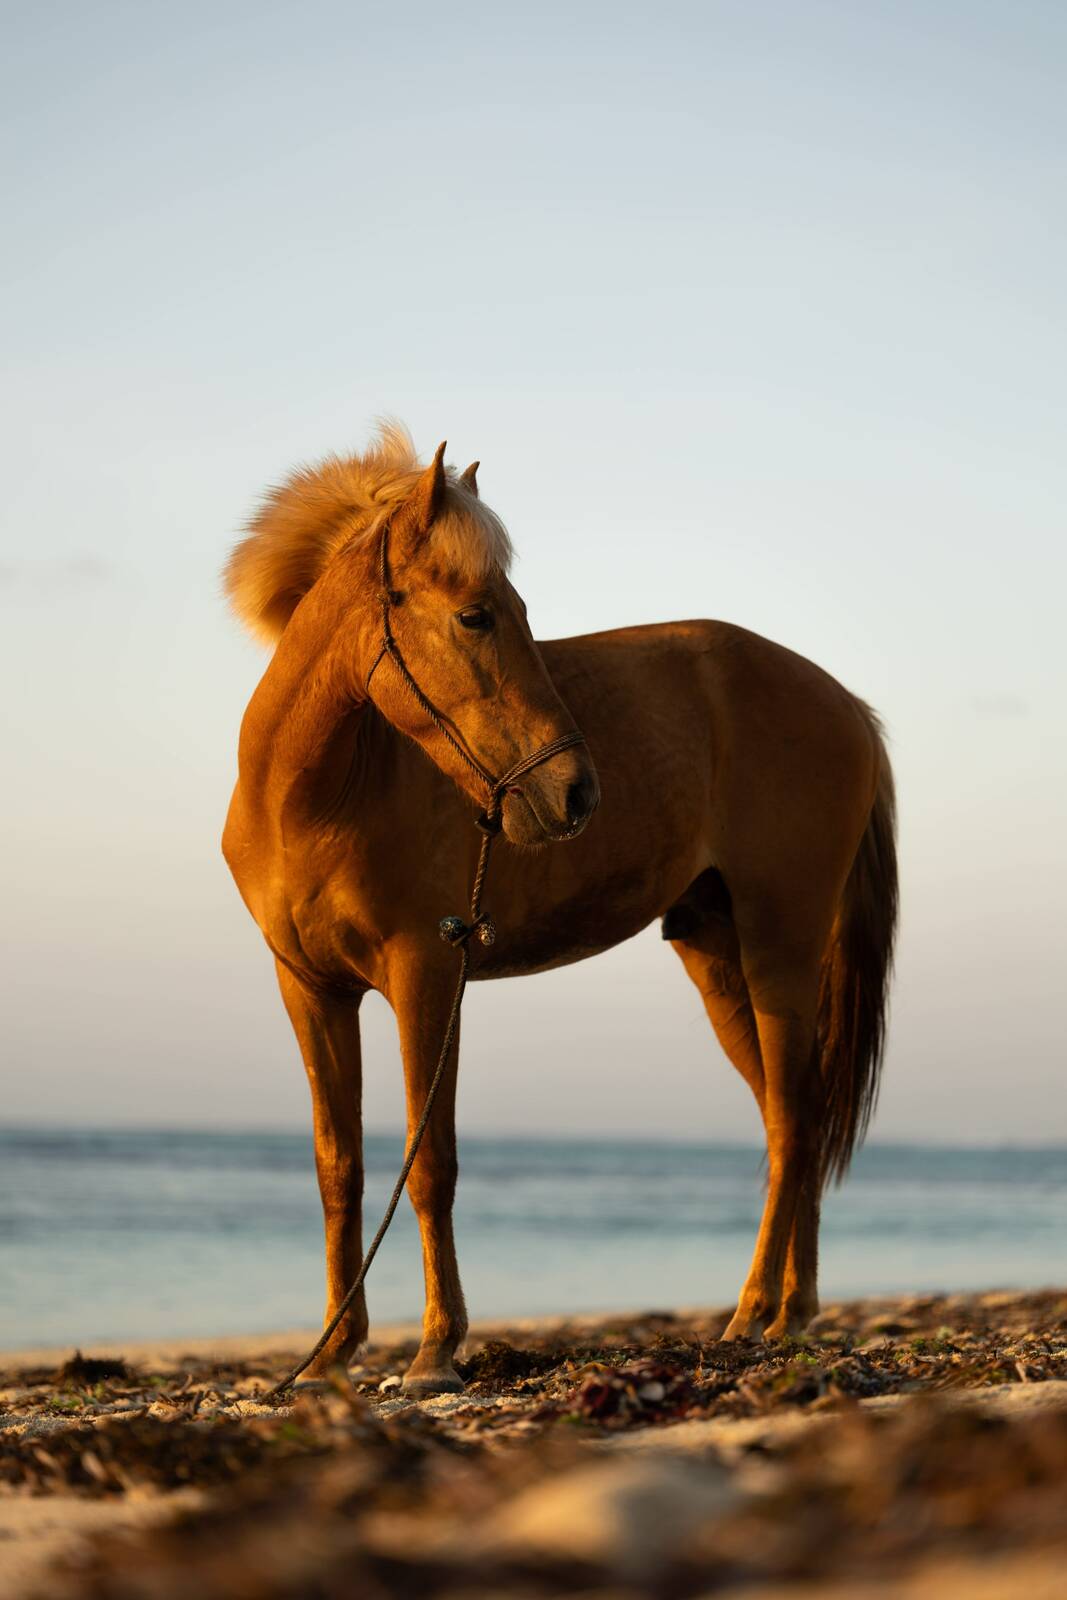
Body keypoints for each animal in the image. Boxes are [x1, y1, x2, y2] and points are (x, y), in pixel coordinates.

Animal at [222, 424, 897, 1394]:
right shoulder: (309, 990)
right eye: (476, 615)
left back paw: (748, 1316)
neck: (319, 798)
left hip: (782, 948)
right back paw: (788, 1314)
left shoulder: (427, 977)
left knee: (794, 1123)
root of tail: (845, 704)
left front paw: (435, 1350)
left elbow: (430, 1164)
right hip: (717, 956)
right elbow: (336, 1166)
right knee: (790, 1120)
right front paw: (332, 1353)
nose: (577, 793)